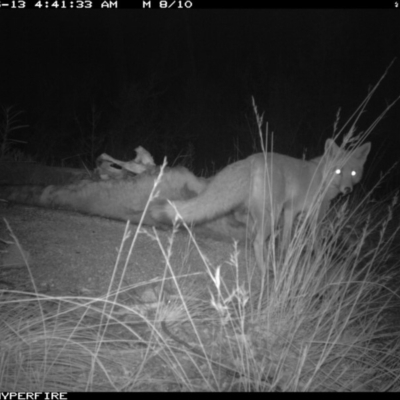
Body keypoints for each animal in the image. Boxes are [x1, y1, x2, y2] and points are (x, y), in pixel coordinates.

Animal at [152, 139, 370, 274]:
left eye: (353, 173)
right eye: (338, 171)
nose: (348, 189)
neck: (321, 176)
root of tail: (251, 159)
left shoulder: (291, 211)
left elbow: (287, 239)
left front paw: (285, 254)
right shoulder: (310, 214)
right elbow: (315, 241)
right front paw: (318, 258)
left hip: (264, 213)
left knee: (254, 235)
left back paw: (266, 262)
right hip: (272, 214)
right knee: (257, 241)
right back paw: (265, 271)